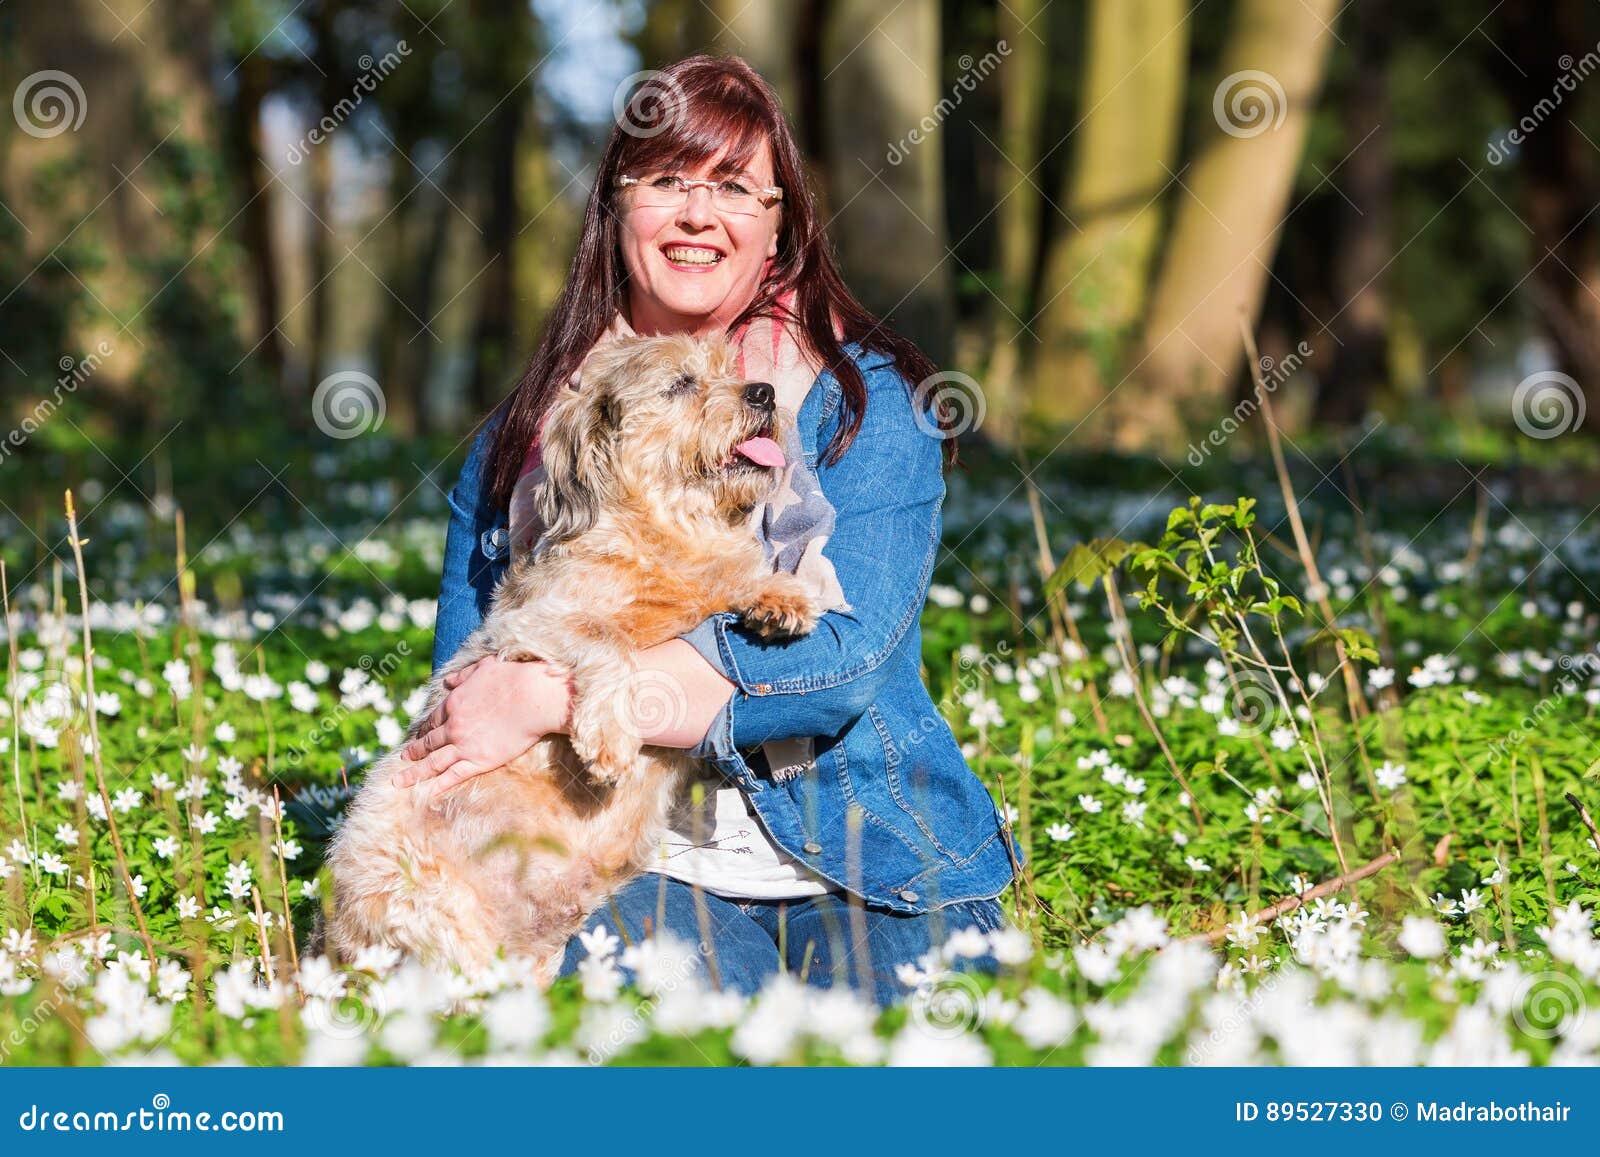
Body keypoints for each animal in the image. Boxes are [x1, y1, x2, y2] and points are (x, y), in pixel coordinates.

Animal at [328, 332, 825, 979]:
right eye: (682, 383)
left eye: (731, 368)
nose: (763, 392)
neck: (669, 532)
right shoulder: (528, 625)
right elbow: (609, 643)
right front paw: (609, 740)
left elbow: (738, 576)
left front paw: (782, 595)